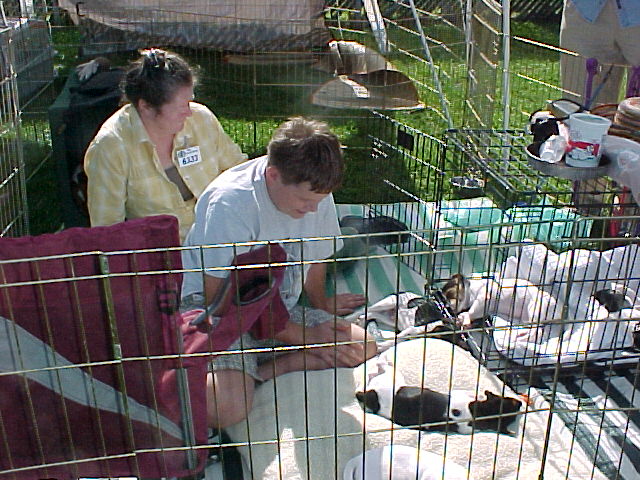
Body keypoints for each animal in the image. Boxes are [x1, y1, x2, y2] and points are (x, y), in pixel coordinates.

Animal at [358, 356, 524, 436]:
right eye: (512, 403)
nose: (521, 403)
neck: (482, 410)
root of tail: (372, 395)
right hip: (393, 378)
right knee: (383, 368)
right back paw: (383, 361)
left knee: (370, 376)